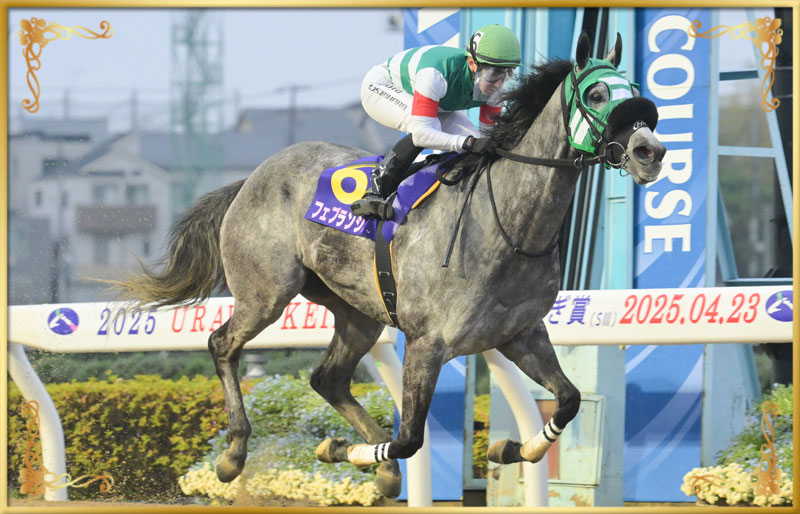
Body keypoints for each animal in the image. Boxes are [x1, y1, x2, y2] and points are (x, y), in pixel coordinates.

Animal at [110, 32, 665, 498]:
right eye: (597, 94)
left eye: (635, 89)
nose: (651, 151)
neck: (507, 221)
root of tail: (251, 178)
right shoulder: (427, 344)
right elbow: (410, 439)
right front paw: (337, 448)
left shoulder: (520, 333)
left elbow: (568, 398)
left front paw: (512, 448)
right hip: (267, 291)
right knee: (222, 344)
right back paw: (234, 454)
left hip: (357, 310)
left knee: (328, 379)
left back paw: (381, 471)